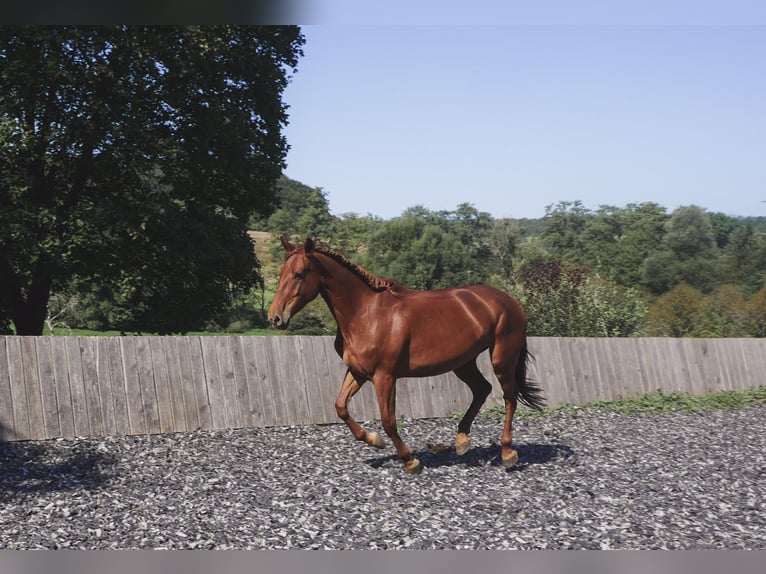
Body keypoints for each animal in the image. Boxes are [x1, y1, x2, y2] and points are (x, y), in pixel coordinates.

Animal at [270, 236, 544, 474]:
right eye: (281, 273)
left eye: (299, 274)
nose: (275, 317)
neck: (366, 314)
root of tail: (510, 301)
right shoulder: (358, 372)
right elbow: (340, 407)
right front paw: (374, 441)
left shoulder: (384, 377)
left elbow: (388, 420)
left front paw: (410, 461)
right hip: (463, 363)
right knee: (482, 389)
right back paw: (461, 441)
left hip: (501, 359)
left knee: (509, 398)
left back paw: (507, 453)